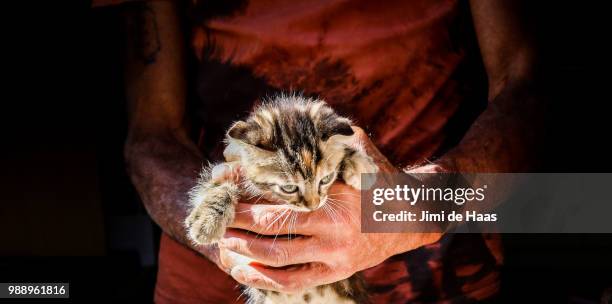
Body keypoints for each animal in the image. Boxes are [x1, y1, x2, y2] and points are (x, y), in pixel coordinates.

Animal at [184, 94, 380, 302]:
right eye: (289, 188)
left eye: (325, 179)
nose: (313, 205)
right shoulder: (223, 171)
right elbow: (215, 187)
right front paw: (207, 223)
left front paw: (359, 162)